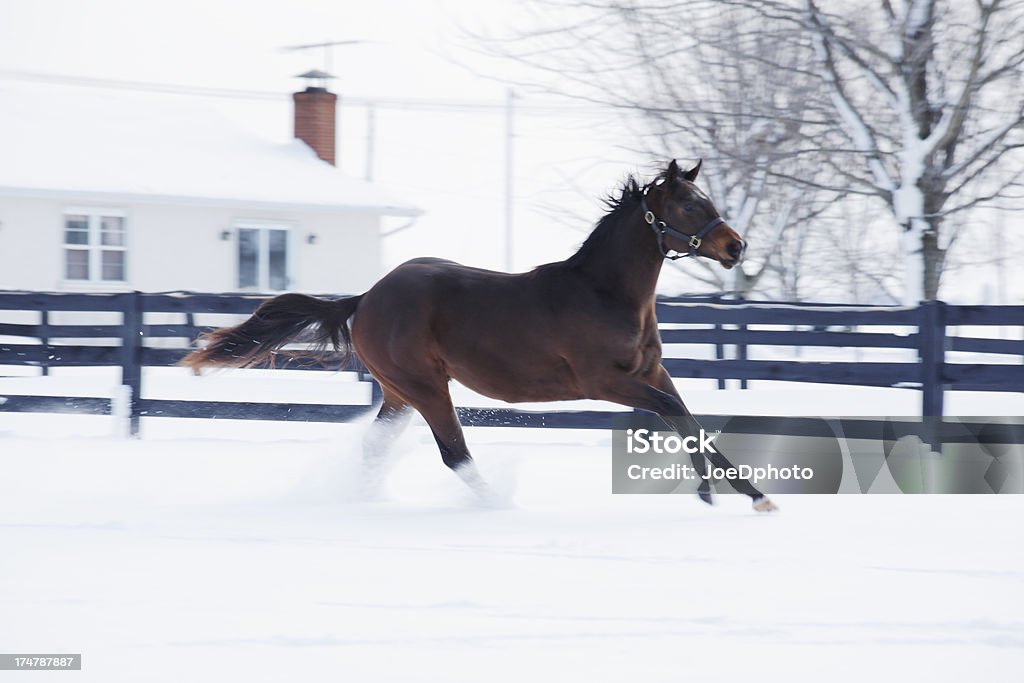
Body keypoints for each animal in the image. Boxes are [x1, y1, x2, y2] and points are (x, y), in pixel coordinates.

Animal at [184, 161, 774, 511]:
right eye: (689, 204)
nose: (736, 247)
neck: (605, 294)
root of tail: (366, 297)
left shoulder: (652, 372)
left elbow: (693, 423)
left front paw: (740, 496)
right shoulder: (605, 382)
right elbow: (679, 418)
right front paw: (721, 496)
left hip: (398, 394)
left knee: (377, 447)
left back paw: (364, 501)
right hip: (426, 388)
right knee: (455, 453)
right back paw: (498, 506)